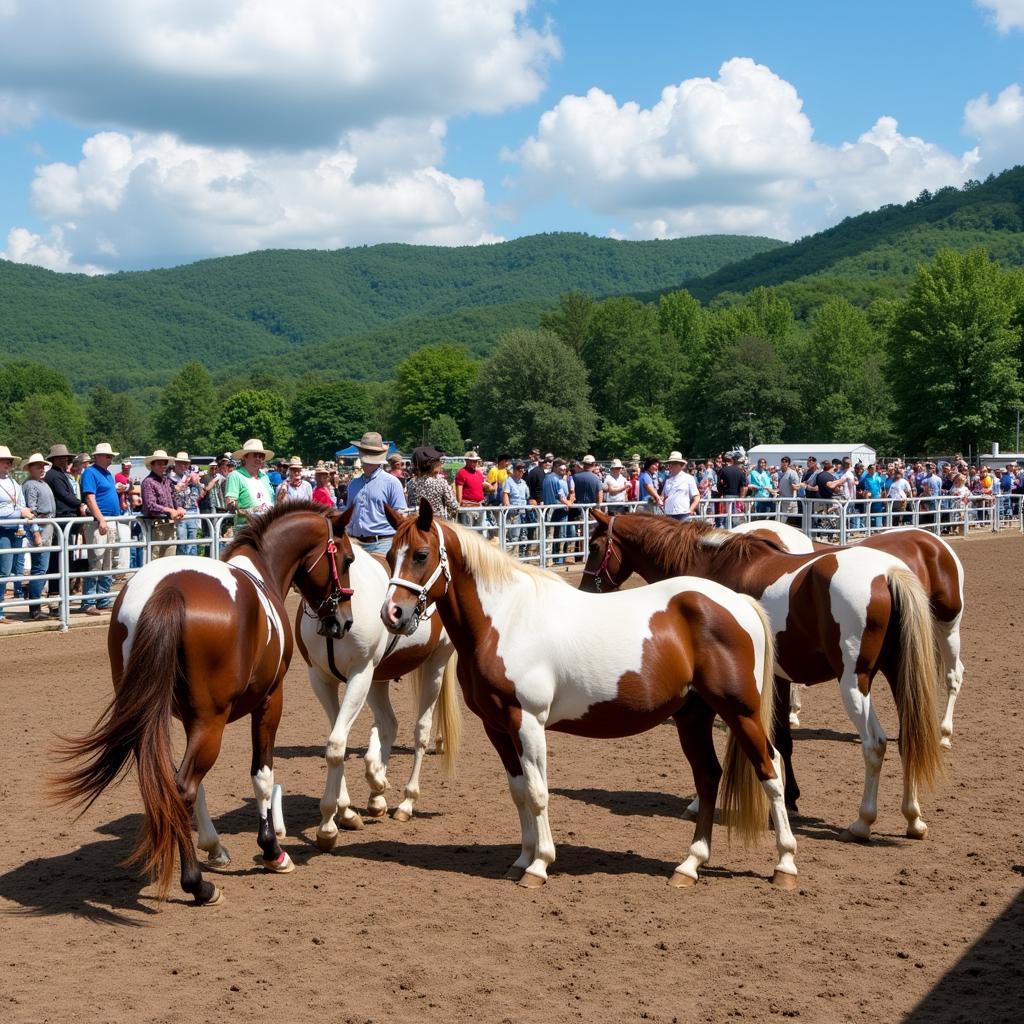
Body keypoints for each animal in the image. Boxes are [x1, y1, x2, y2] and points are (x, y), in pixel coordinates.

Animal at [56, 501, 352, 905]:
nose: (343, 621)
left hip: (160, 717)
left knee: (170, 786)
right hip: (212, 720)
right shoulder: (270, 700)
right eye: (348, 559)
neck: (261, 570)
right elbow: (262, 775)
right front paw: (272, 851)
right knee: (183, 788)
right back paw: (198, 885)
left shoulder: (186, 717)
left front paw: (214, 845)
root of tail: (168, 590)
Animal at [380, 499, 794, 892]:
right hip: (694, 714)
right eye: (390, 554)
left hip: (741, 712)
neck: (505, 619)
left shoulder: (528, 722)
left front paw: (539, 865)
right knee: (708, 777)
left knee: (770, 768)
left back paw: (785, 864)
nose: (392, 613)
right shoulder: (497, 727)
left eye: (421, 555)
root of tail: (739, 603)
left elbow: (538, 792)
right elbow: (519, 791)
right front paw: (521, 858)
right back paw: (689, 866)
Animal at [581, 509, 937, 839]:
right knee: (909, 737)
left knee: (875, 744)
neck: (711, 568)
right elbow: (782, 740)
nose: (586, 589)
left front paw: (699, 802)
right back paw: (913, 819)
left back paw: (863, 822)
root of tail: (887, 573)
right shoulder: (777, 679)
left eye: (595, 546)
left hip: (854, 681)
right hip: (898, 675)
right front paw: (790, 798)